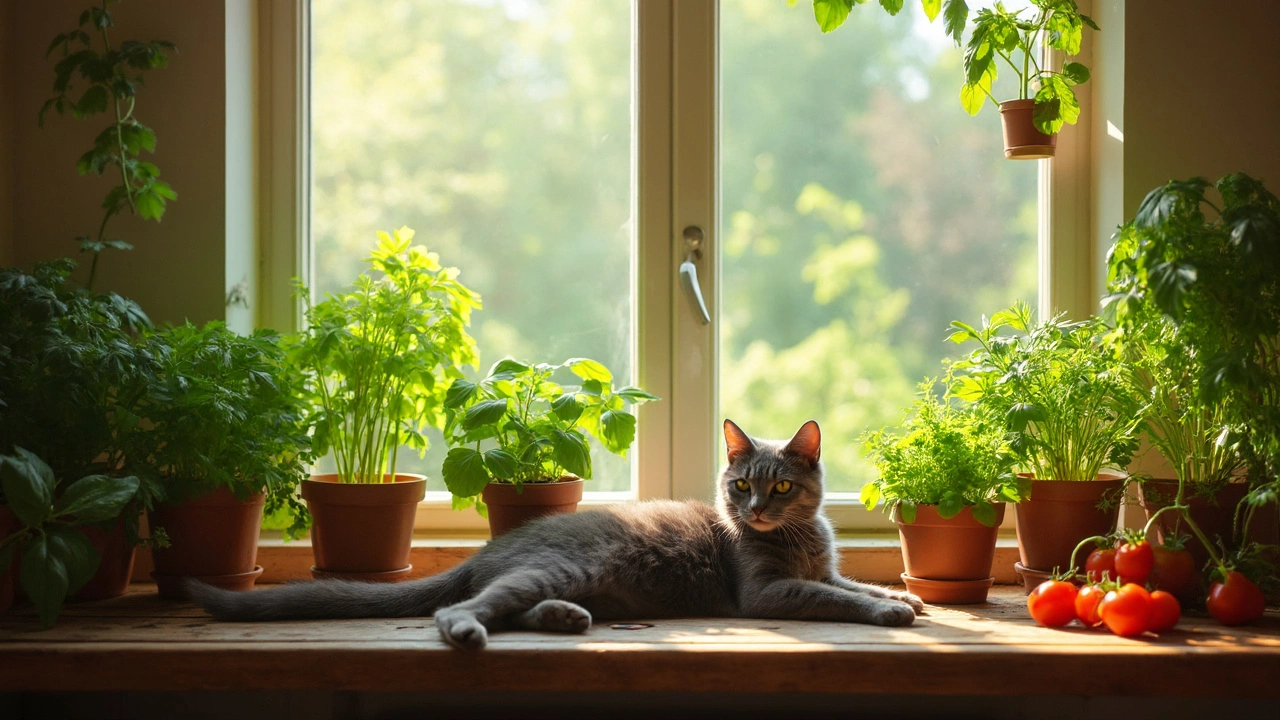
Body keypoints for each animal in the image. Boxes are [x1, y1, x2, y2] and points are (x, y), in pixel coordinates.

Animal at [189, 417, 926, 648]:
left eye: (781, 488)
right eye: (741, 486)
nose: (754, 513)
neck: (798, 539)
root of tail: (491, 548)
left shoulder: (824, 566)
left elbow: (849, 581)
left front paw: (908, 597)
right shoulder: (768, 591)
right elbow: (835, 597)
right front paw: (891, 612)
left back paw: (566, 619)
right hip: (566, 564)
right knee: (461, 608)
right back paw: (472, 631)